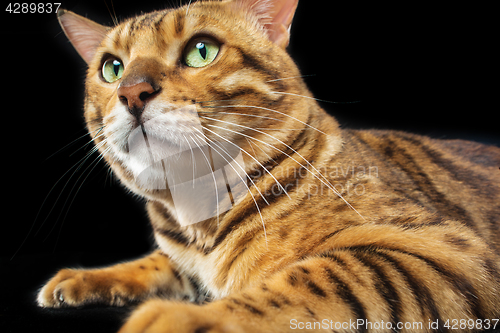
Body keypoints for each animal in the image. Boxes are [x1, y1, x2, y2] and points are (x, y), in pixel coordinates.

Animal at [38, 0, 500, 332]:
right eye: (112, 68)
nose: (132, 91)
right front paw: (84, 278)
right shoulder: (182, 257)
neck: (199, 219)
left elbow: (309, 280)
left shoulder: (445, 252)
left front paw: (180, 317)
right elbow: (159, 262)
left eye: (201, 51)